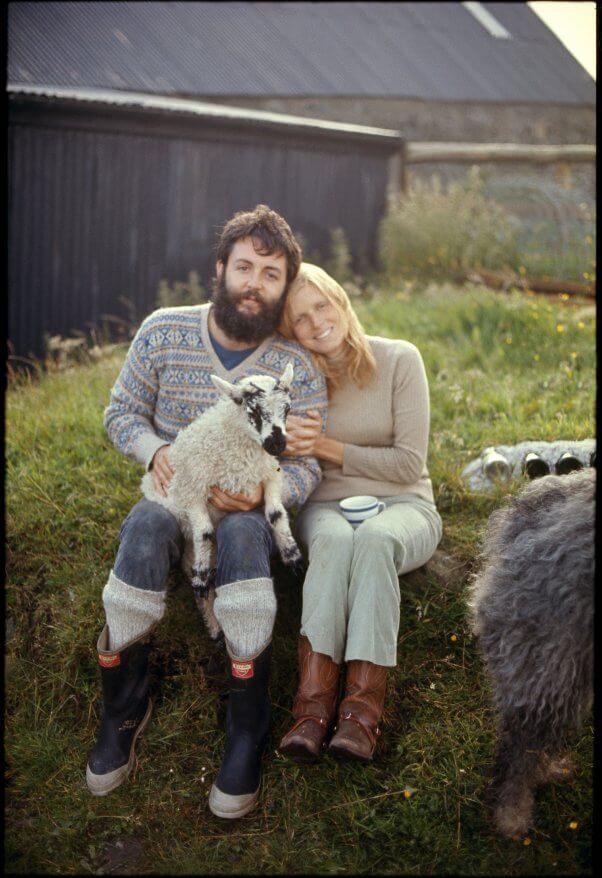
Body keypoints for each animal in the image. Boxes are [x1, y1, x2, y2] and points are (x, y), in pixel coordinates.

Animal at [139, 360, 300, 636]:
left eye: (287, 408)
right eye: (253, 411)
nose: (277, 445)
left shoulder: (269, 476)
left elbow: (276, 514)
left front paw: (292, 555)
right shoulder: (192, 490)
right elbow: (204, 531)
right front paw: (201, 577)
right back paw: (210, 614)